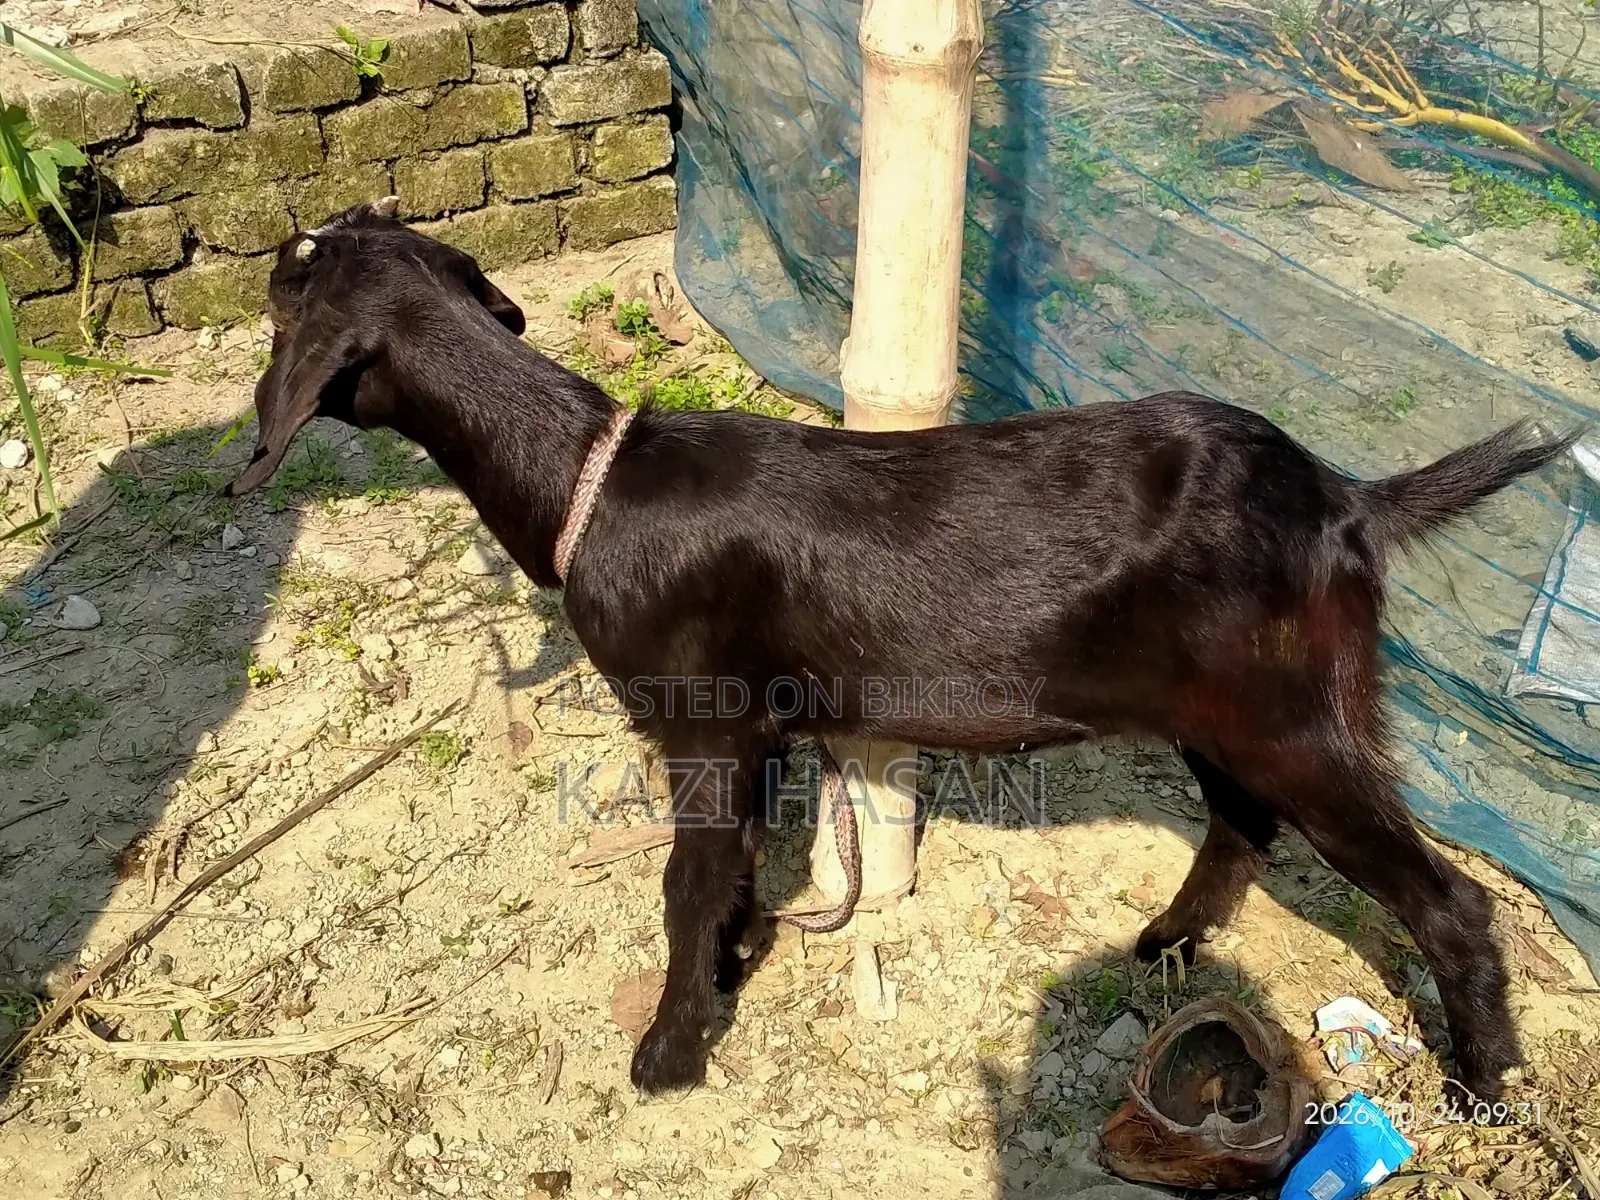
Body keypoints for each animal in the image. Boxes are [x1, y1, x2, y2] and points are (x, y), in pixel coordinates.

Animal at [228, 198, 1578, 1101]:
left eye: (295, 281)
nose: (266, 258)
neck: (587, 477)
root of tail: (1347, 500)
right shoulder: (763, 728)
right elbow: (732, 873)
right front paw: (735, 968)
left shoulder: (701, 718)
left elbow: (683, 883)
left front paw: (667, 1053)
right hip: (1217, 711)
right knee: (1243, 821)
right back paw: (1167, 943)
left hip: (1291, 711)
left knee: (1444, 899)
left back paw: (1480, 1083)